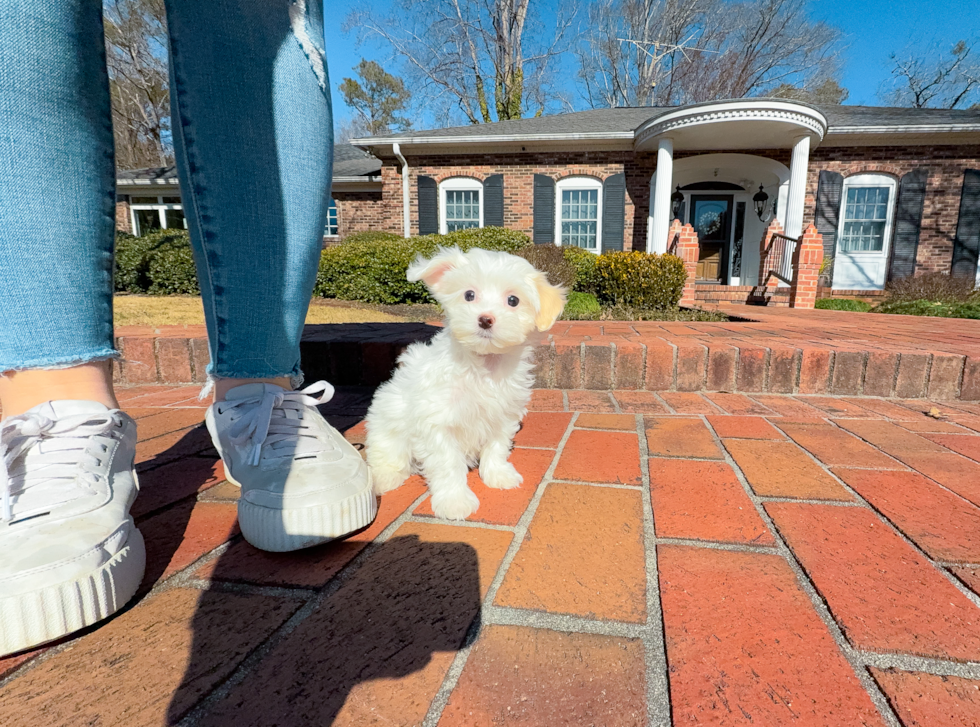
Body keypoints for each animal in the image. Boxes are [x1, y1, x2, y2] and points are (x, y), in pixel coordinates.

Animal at [366, 247, 568, 520]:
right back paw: (385, 477)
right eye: (469, 295)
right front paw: (455, 500)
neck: (484, 365)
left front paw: (498, 475)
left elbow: (497, 447)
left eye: (513, 300)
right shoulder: (437, 422)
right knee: (387, 453)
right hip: (387, 420)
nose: (485, 319)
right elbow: (448, 463)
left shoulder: (503, 415)